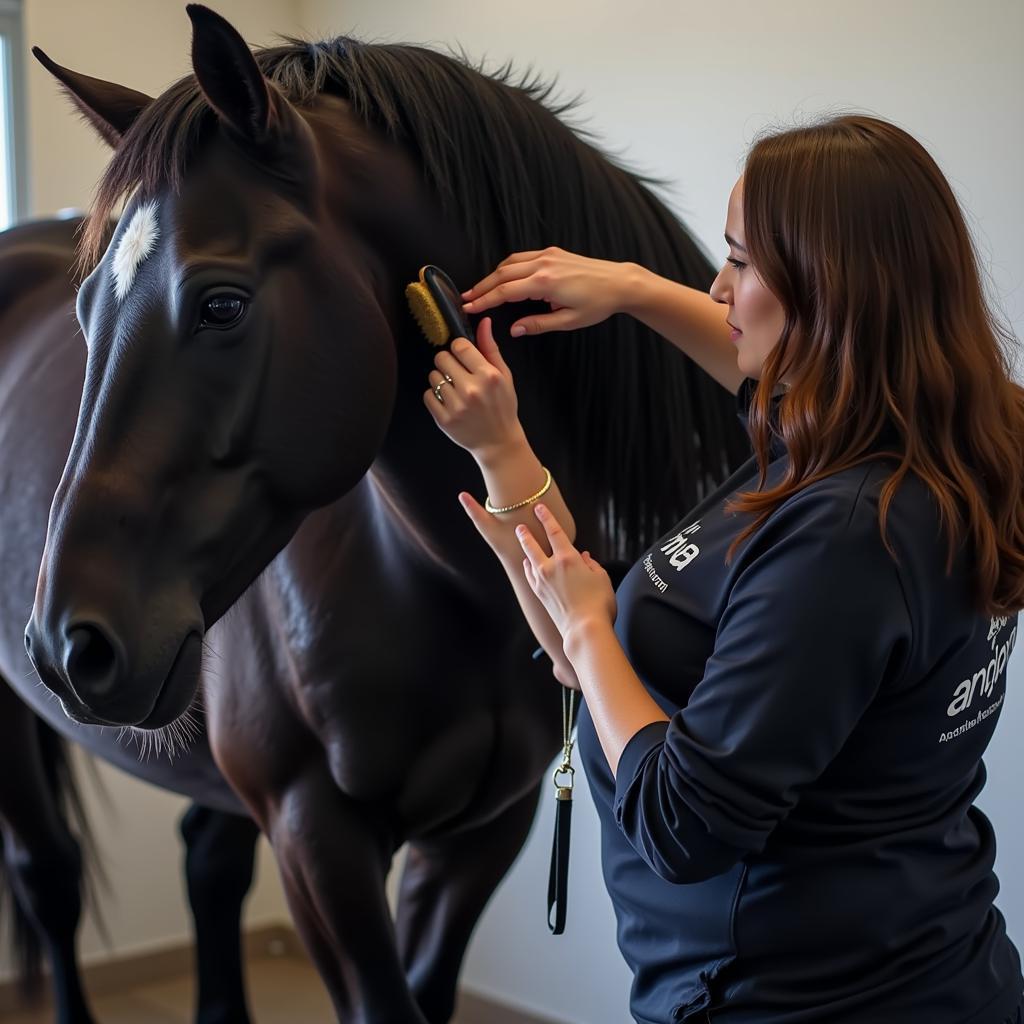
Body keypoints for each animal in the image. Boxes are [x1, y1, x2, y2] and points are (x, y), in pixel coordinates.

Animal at [4, 8, 749, 1024]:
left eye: (222, 303)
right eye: (85, 313)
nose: (68, 645)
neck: (454, 586)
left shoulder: (482, 834)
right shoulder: (317, 836)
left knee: (203, 865)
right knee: (50, 877)